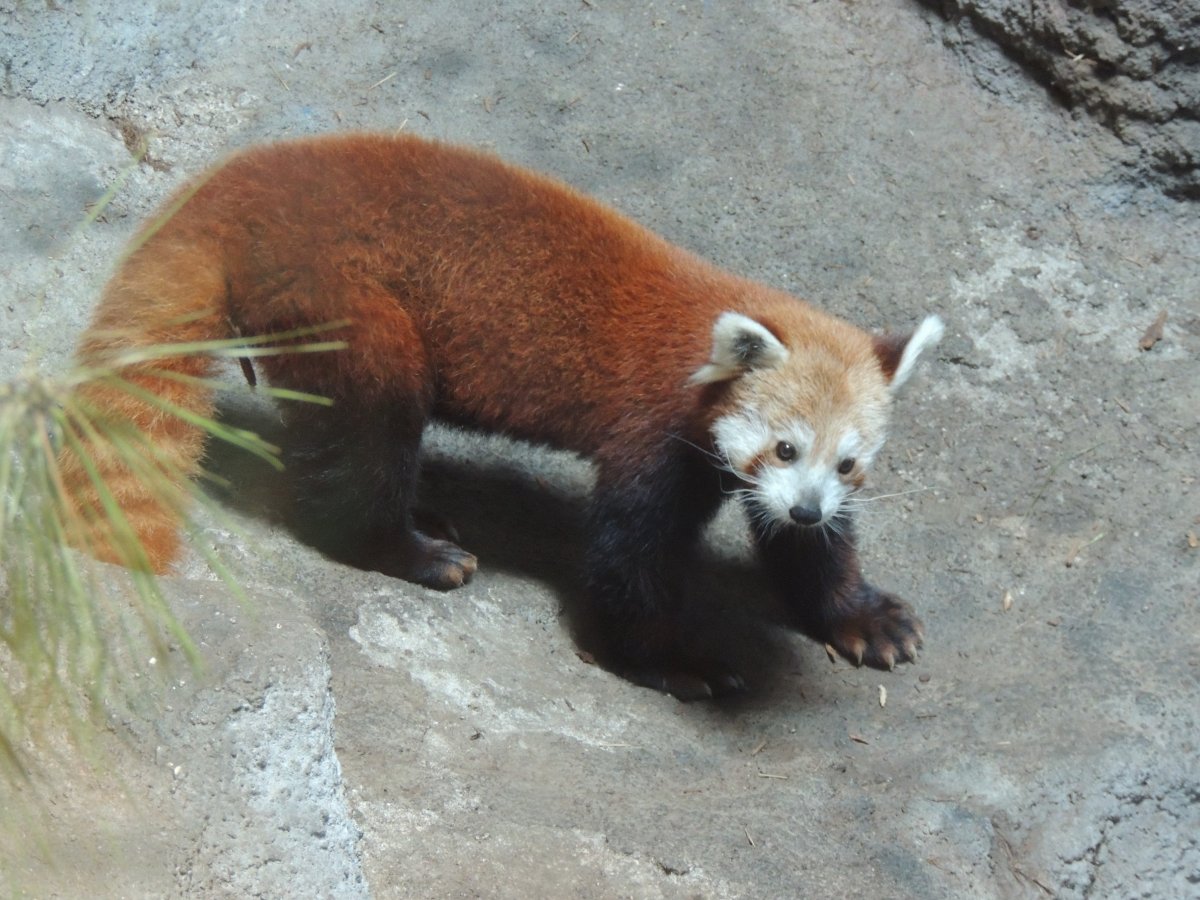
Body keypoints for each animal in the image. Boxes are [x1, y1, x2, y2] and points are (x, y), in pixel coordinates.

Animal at [56, 130, 940, 700]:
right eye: (784, 448)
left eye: (847, 463)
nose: (808, 507)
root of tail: (244, 178)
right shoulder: (652, 432)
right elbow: (625, 559)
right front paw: (674, 660)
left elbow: (804, 553)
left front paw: (858, 614)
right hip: (345, 300)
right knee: (368, 433)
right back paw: (410, 549)